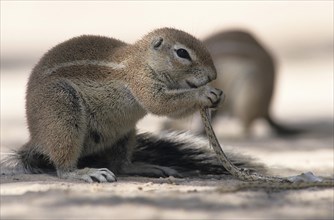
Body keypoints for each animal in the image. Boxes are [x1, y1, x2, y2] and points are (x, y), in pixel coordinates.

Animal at [1, 27, 264, 182]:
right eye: (182, 53)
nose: (213, 75)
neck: (143, 59)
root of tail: (36, 141)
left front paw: (220, 95)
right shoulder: (140, 80)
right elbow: (159, 103)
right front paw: (204, 93)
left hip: (124, 134)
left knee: (120, 166)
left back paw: (147, 167)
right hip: (62, 110)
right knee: (63, 168)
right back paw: (84, 172)